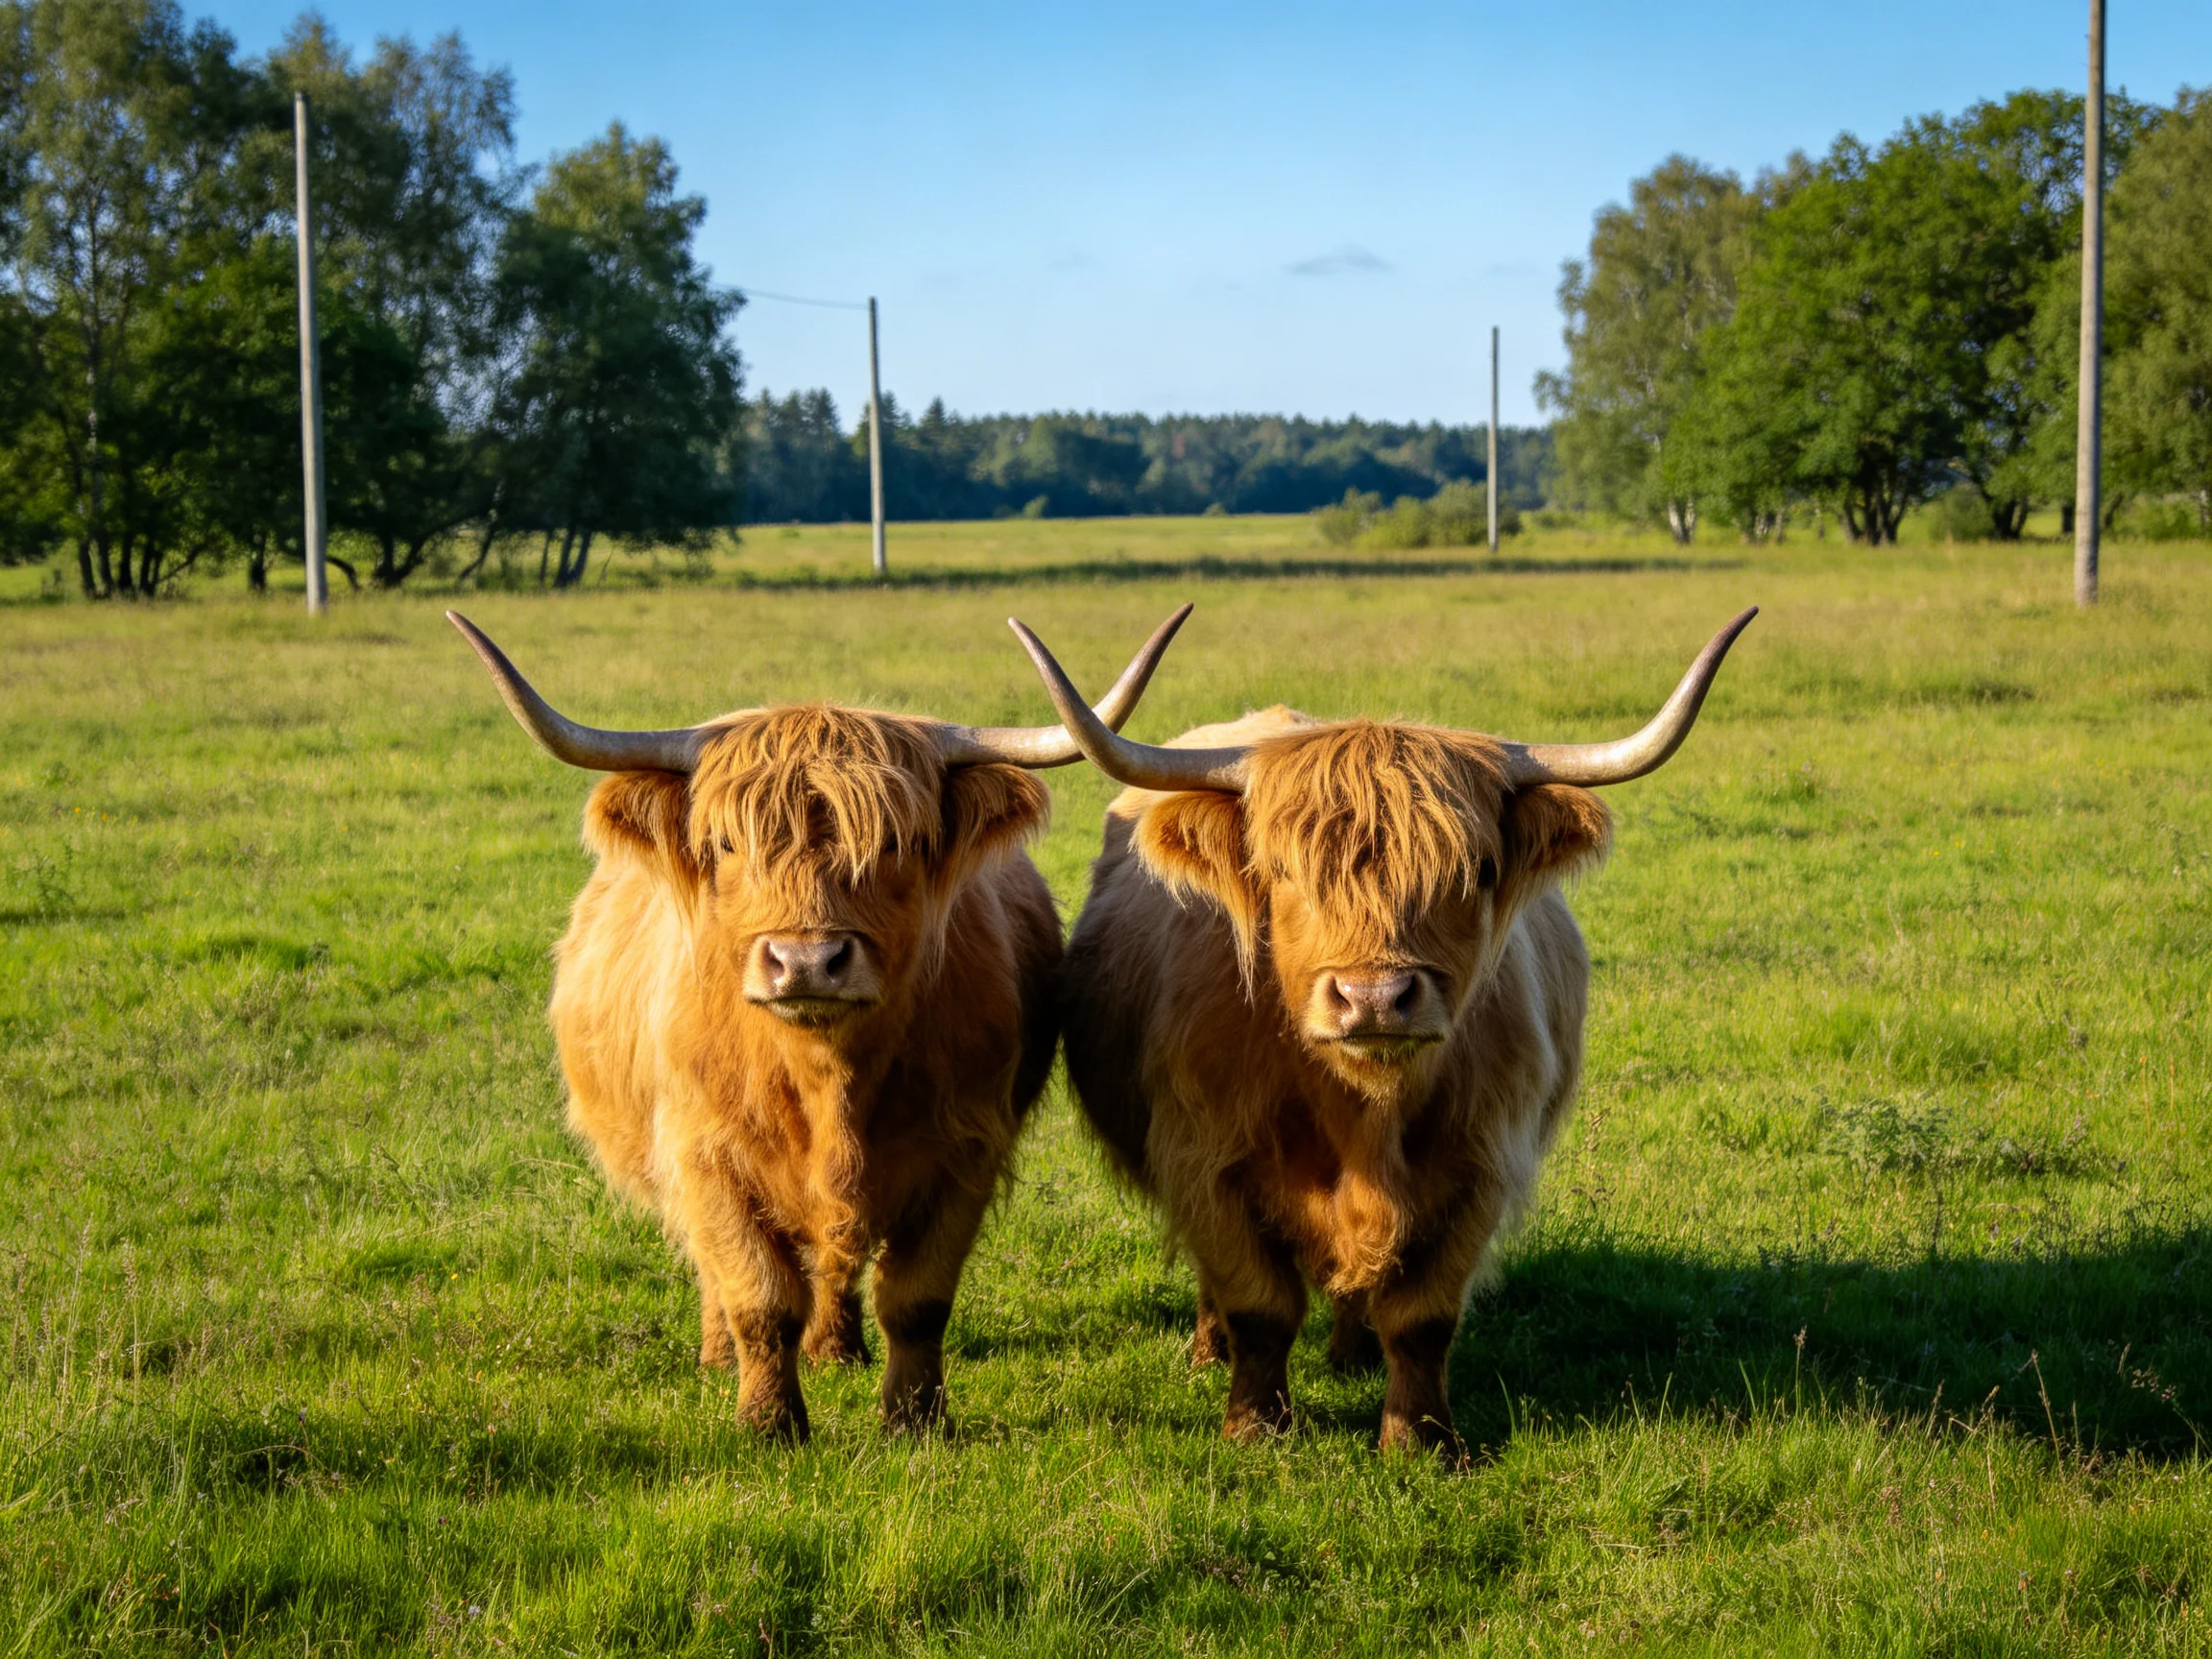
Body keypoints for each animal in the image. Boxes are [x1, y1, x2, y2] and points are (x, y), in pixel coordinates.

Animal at [448, 607, 1190, 1440]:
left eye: (894, 842)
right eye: (728, 843)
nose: (805, 961)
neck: (827, 1075)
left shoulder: (965, 1149)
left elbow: (917, 1299)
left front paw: (912, 1420)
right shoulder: (704, 1151)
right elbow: (757, 1296)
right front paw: (769, 1423)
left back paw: (838, 1349)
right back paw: (720, 1357)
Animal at [1009, 607, 1756, 1454]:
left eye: (1479, 871)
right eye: (1282, 871)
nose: (1373, 998)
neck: (1362, 1109)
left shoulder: (1481, 1166)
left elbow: (1424, 1317)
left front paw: (1421, 1438)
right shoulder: (1204, 1156)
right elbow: (1257, 1302)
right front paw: (1257, 1427)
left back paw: (1352, 1353)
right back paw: (1210, 1349)